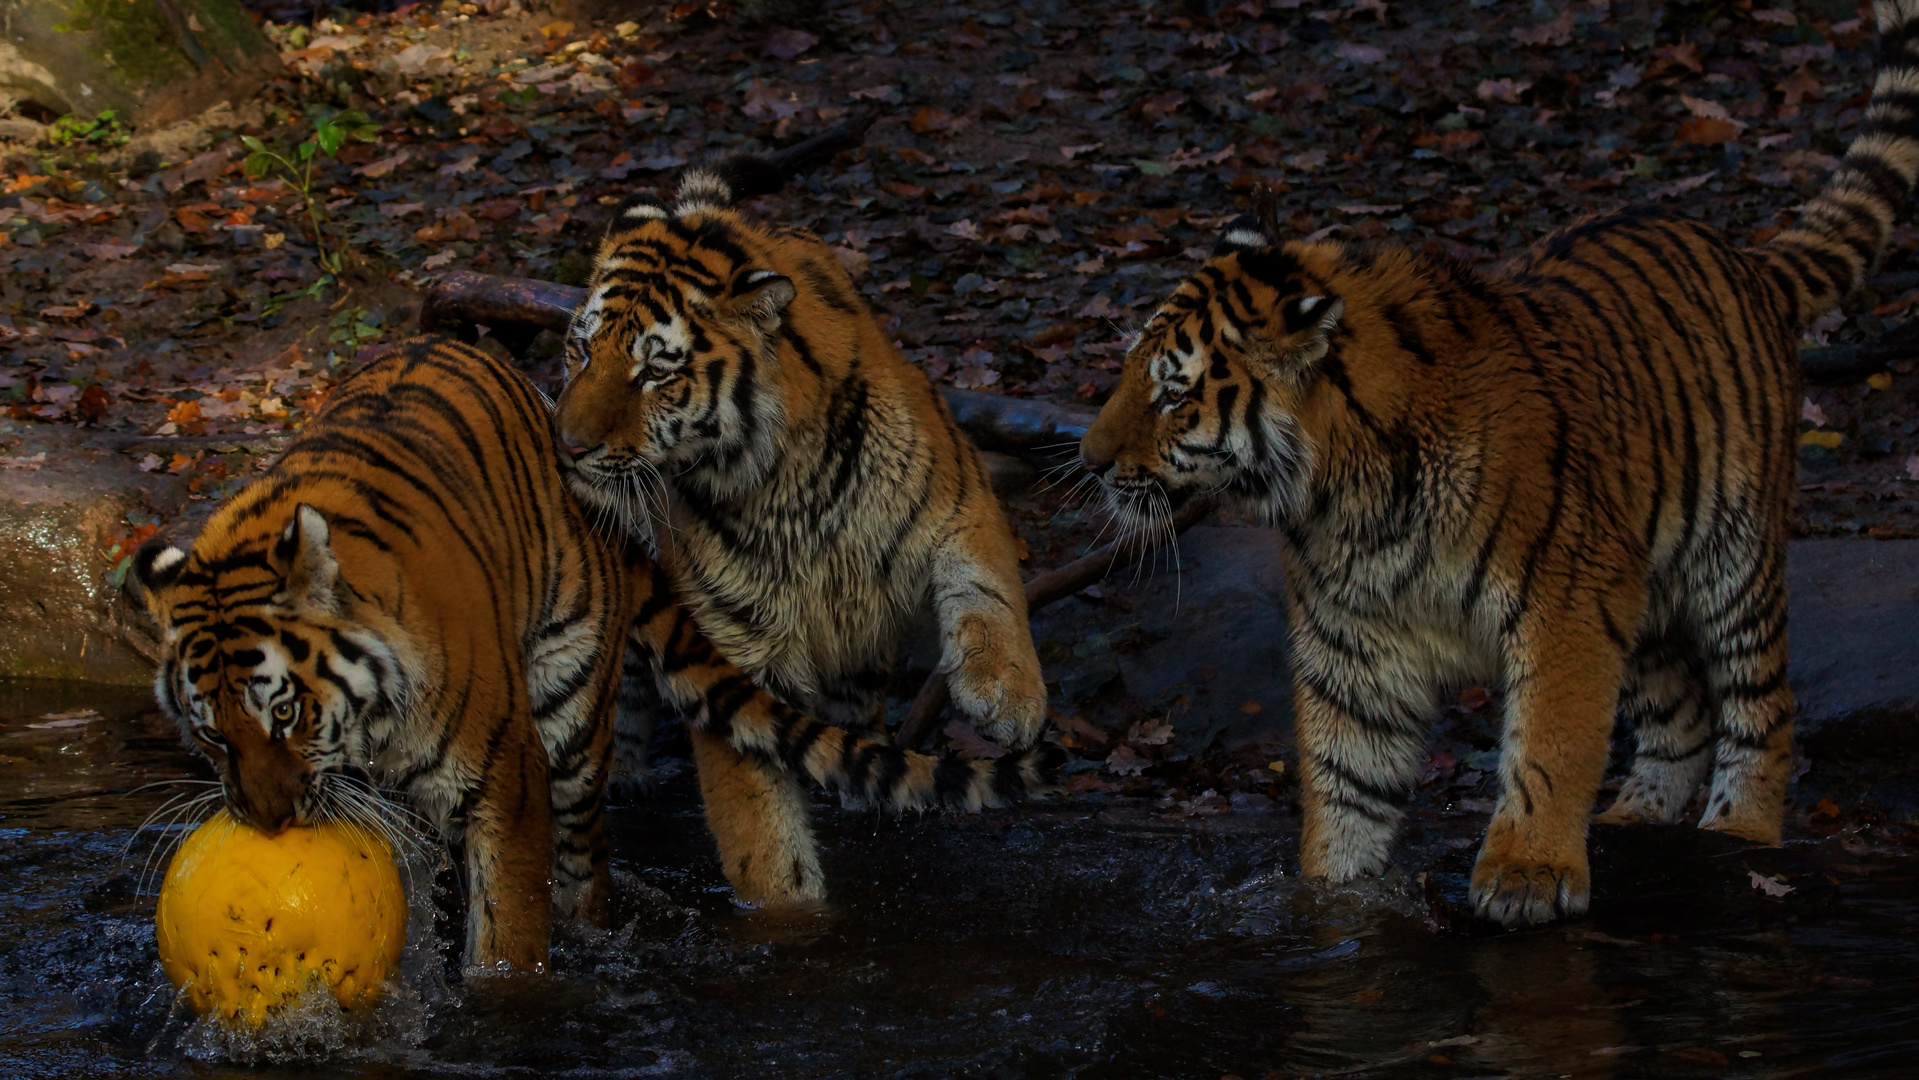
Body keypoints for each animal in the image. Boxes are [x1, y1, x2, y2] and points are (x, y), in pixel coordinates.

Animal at [131, 337, 1066, 970]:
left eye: (285, 712)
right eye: (210, 734)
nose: (265, 822)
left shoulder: (501, 776)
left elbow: (510, 937)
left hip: (570, 725)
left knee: (585, 872)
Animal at [1074, 0, 1919, 928]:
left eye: (1171, 394)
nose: (1086, 459)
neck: (1345, 501)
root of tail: (1744, 256)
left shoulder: (1566, 605)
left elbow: (1550, 744)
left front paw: (1524, 874)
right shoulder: (1354, 644)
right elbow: (1346, 783)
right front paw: (1331, 897)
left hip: (1731, 560)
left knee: (1760, 704)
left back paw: (1740, 832)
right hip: (1643, 586)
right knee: (1682, 712)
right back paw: (1635, 814)